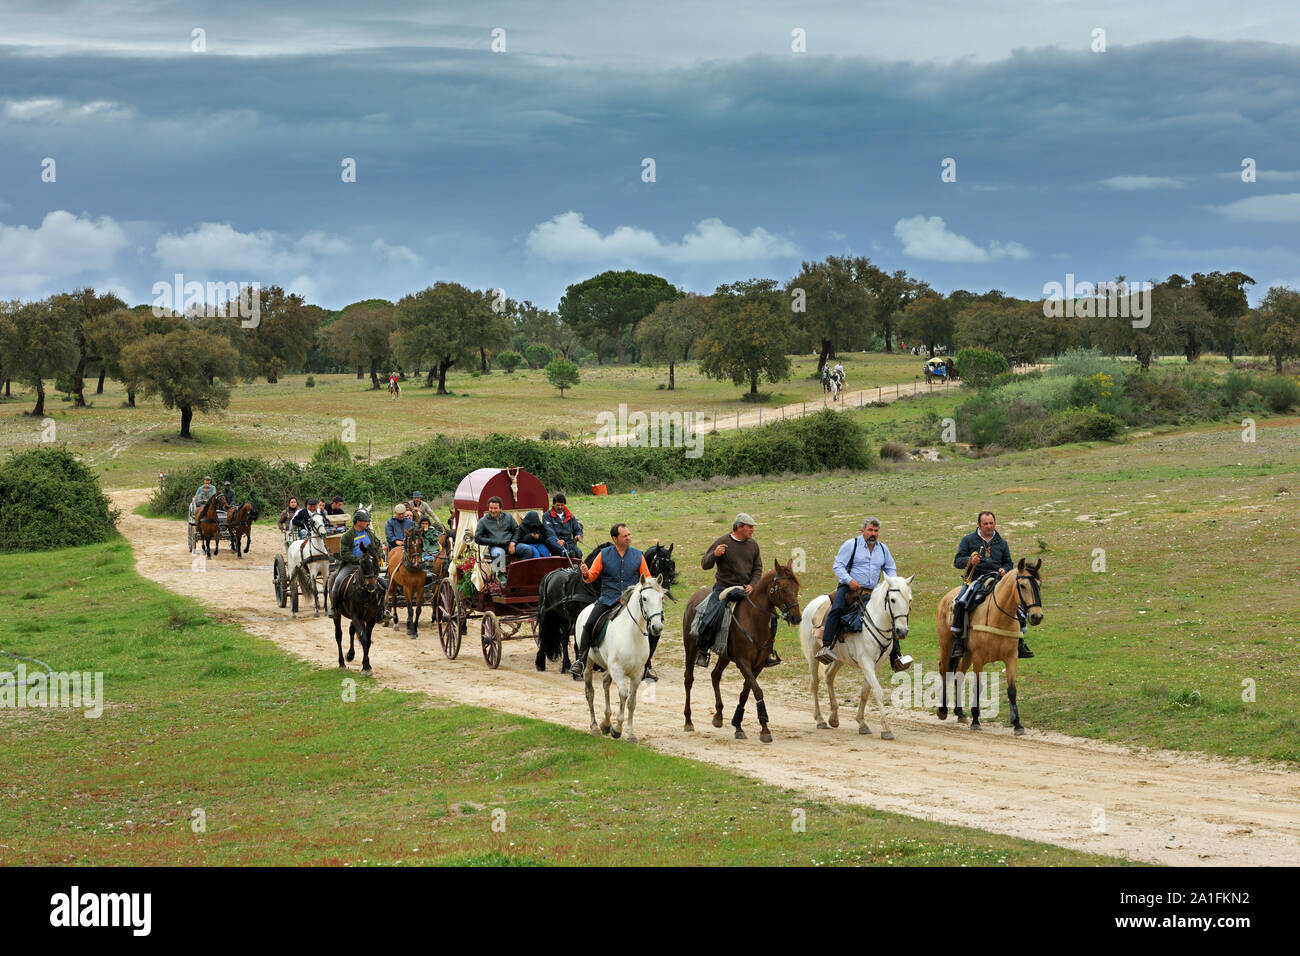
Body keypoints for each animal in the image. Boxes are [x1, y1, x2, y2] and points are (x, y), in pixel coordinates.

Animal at [330, 548, 384, 676]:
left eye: (376, 563)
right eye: (362, 563)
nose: (372, 585)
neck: (365, 593)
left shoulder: (371, 619)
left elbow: (367, 640)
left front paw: (367, 665)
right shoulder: (357, 617)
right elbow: (363, 638)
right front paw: (366, 667)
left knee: (351, 629)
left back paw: (350, 655)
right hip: (337, 615)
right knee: (338, 635)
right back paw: (342, 663)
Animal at [577, 572, 665, 743]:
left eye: (661, 598)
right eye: (644, 598)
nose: (657, 627)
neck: (632, 634)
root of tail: (586, 608)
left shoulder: (637, 674)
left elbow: (631, 701)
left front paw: (630, 733)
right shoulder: (617, 670)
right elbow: (623, 694)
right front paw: (617, 729)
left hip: (607, 666)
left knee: (605, 683)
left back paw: (605, 723)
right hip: (589, 663)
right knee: (590, 692)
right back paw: (595, 726)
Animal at [681, 561, 800, 749]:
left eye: (796, 587)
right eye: (782, 588)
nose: (797, 618)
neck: (755, 620)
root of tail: (695, 596)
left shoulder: (758, 665)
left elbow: (746, 692)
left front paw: (738, 725)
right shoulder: (743, 662)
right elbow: (757, 691)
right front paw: (765, 729)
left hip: (724, 655)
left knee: (715, 676)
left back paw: (718, 715)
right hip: (691, 648)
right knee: (688, 680)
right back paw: (688, 720)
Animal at [795, 574, 920, 738]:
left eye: (909, 599)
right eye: (892, 600)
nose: (902, 631)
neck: (872, 622)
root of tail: (812, 604)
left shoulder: (876, 664)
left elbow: (865, 692)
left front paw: (862, 723)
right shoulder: (866, 662)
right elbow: (877, 691)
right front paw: (886, 728)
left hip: (839, 657)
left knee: (829, 676)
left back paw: (833, 718)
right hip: (812, 653)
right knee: (814, 683)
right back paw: (820, 720)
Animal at [935, 556, 1045, 738]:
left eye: (1039, 584)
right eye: (1022, 585)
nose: (1036, 616)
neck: (998, 617)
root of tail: (946, 598)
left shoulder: (1011, 658)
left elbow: (1012, 690)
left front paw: (1017, 724)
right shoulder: (979, 659)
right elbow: (977, 687)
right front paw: (975, 721)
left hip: (967, 654)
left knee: (958, 676)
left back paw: (960, 713)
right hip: (947, 647)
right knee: (944, 672)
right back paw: (942, 710)